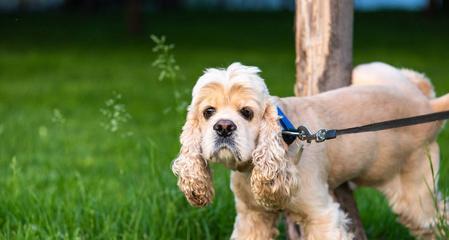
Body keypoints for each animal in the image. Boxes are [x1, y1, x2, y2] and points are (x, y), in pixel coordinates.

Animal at [170, 62, 446, 240]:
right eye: (208, 112)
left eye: (247, 112)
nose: (224, 127)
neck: (284, 138)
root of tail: (427, 106)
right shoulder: (252, 217)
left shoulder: (321, 215)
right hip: (371, 70)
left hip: (416, 196)